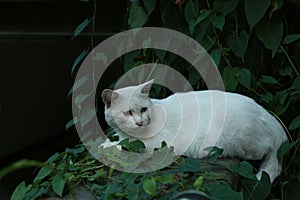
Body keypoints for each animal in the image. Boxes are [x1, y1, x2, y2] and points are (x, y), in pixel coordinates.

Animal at [101, 79, 288, 183]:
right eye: (127, 112)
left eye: (143, 109)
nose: (139, 123)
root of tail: (273, 121)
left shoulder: (153, 145)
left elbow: (122, 145)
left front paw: (109, 145)